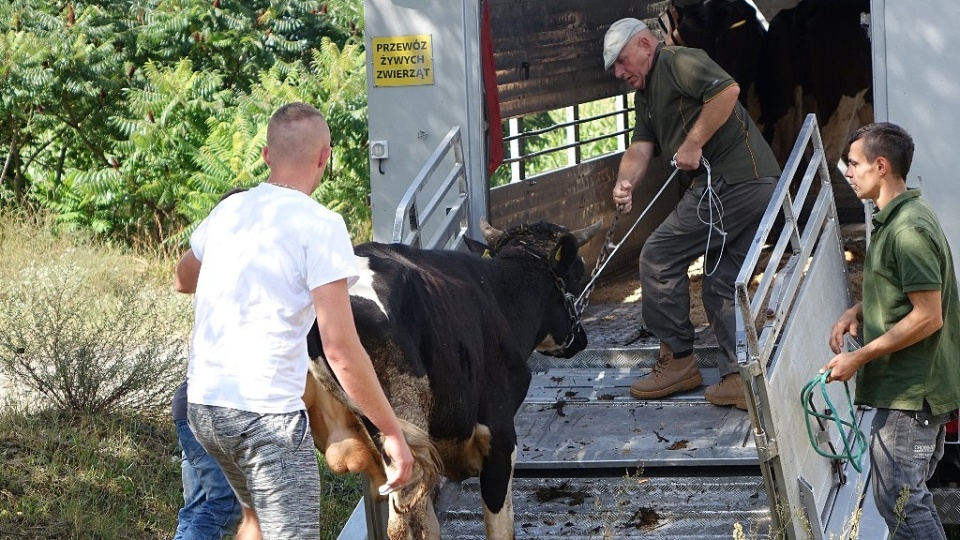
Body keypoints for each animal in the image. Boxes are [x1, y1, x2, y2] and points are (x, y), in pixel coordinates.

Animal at [304, 219, 600, 540]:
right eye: (579, 273)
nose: (581, 339)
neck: (497, 297)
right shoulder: (499, 434)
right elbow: (500, 523)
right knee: (402, 525)